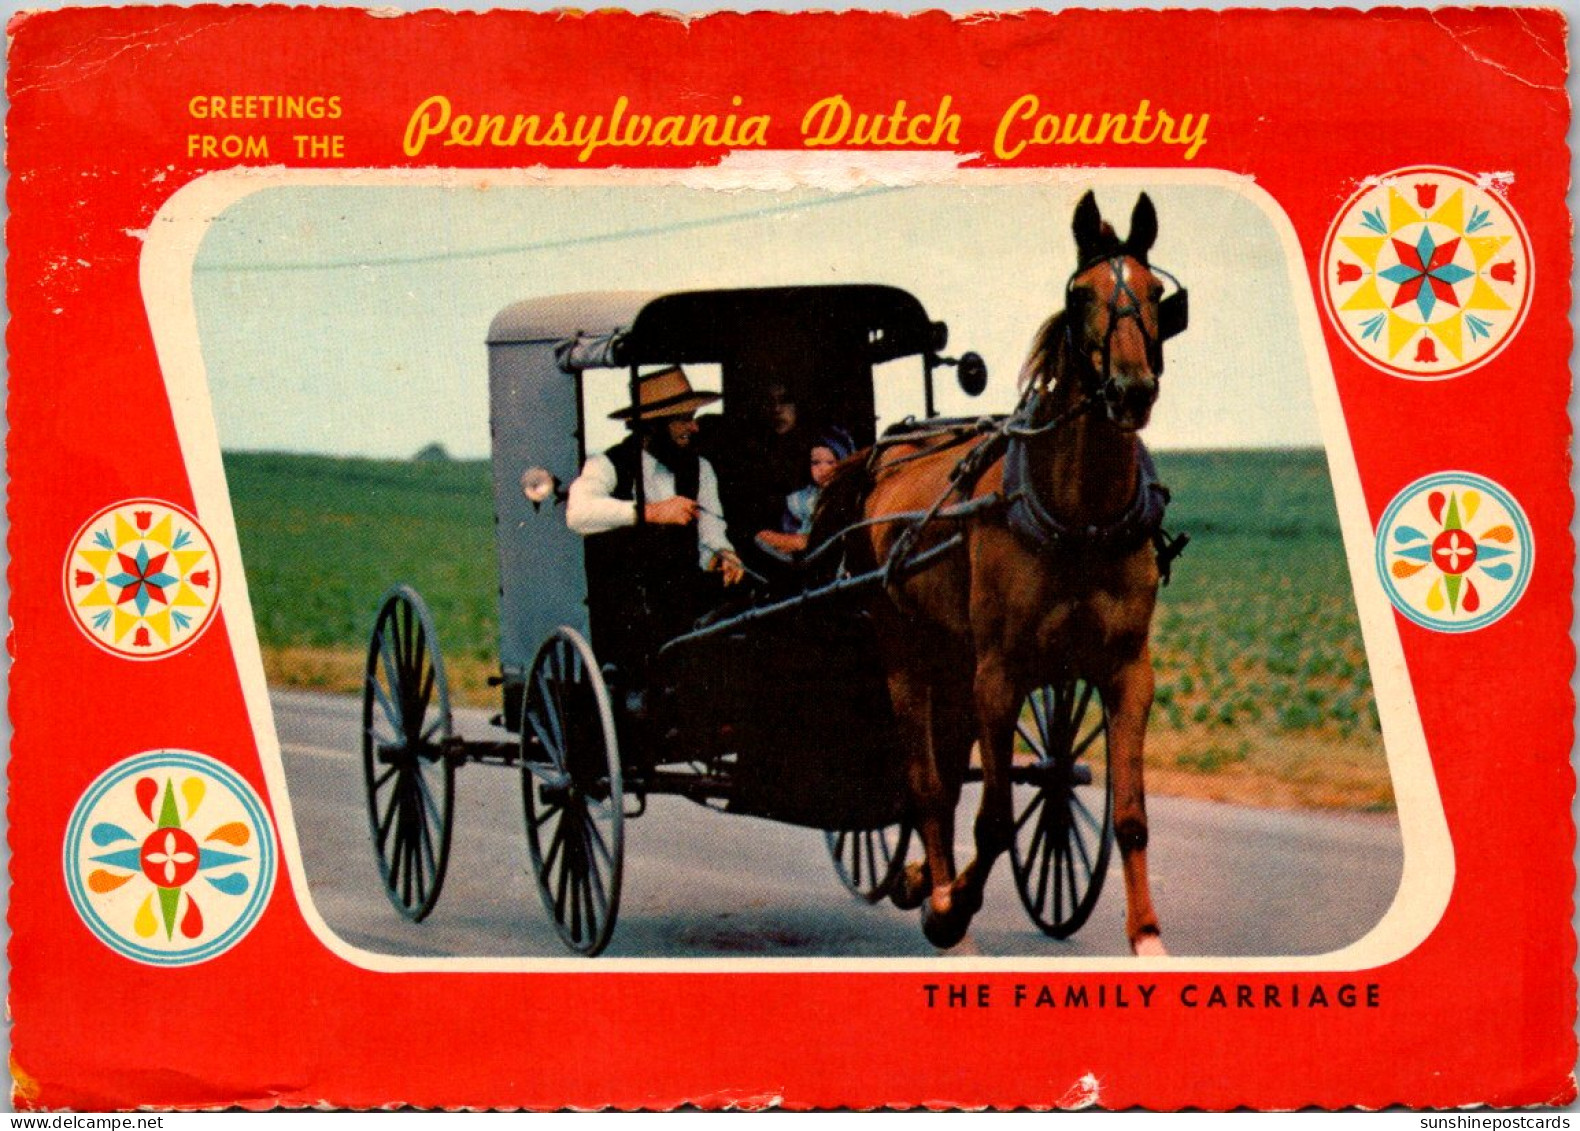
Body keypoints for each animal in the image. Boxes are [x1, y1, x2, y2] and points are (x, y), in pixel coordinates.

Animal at [834, 194, 1181, 954]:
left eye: (1156, 294)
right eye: (1081, 296)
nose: (1131, 390)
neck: (1079, 517)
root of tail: (884, 454)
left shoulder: (1127, 672)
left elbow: (1130, 816)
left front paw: (1146, 934)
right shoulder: (1000, 674)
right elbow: (991, 820)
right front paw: (949, 907)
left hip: (953, 662)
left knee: (945, 777)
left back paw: (920, 878)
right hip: (907, 656)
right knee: (927, 783)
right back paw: (935, 892)